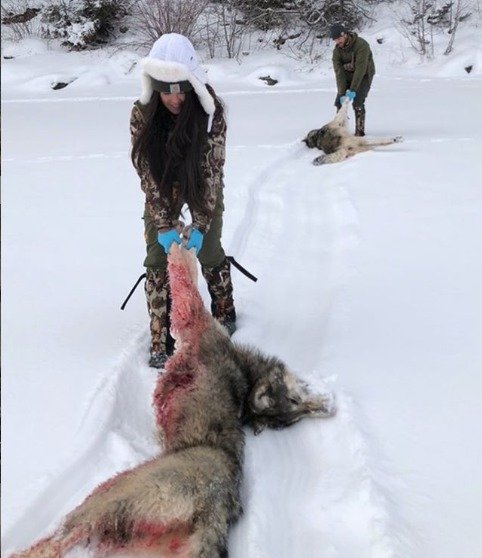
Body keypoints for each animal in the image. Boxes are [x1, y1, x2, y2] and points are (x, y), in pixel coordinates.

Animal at [10, 246, 336, 558]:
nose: (328, 406)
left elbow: (185, 282)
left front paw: (181, 248)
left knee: (61, 537)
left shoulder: (193, 318)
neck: (245, 376)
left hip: (116, 491)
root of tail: (216, 506)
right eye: (295, 401)